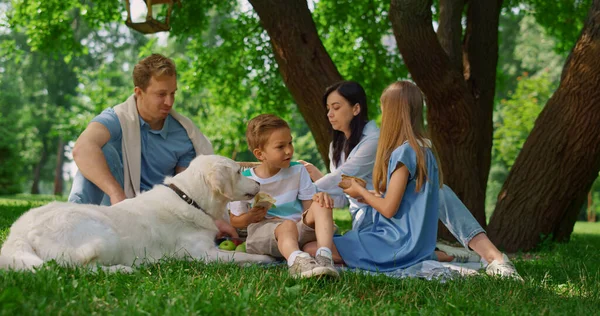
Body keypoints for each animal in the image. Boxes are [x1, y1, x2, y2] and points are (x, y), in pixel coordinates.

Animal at [0, 155, 274, 272]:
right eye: (238, 172)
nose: (258, 184)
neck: (190, 198)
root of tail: (19, 233)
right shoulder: (202, 255)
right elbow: (243, 256)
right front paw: (266, 258)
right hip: (104, 235)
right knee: (74, 268)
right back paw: (122, 269)